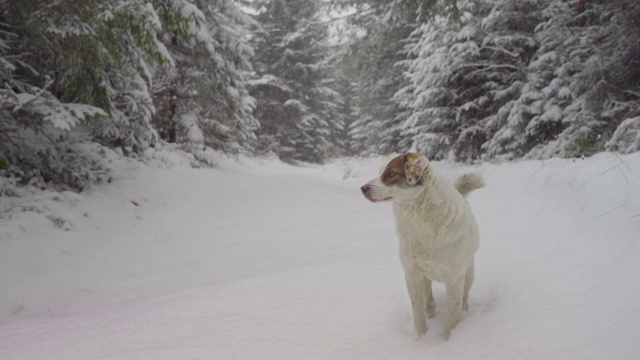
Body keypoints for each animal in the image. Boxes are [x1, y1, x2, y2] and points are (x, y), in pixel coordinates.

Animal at [360, 153, 484, 338]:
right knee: (429, 299)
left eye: (391, 173)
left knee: (464, 297)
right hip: (425, 276)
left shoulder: (454, 280)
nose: (362, 188)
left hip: (469, 273)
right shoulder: (412, 276)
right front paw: (422, 339)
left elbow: (452, 317)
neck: (421, 219)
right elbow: (418, 314)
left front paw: (448, 339)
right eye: (380, 171)